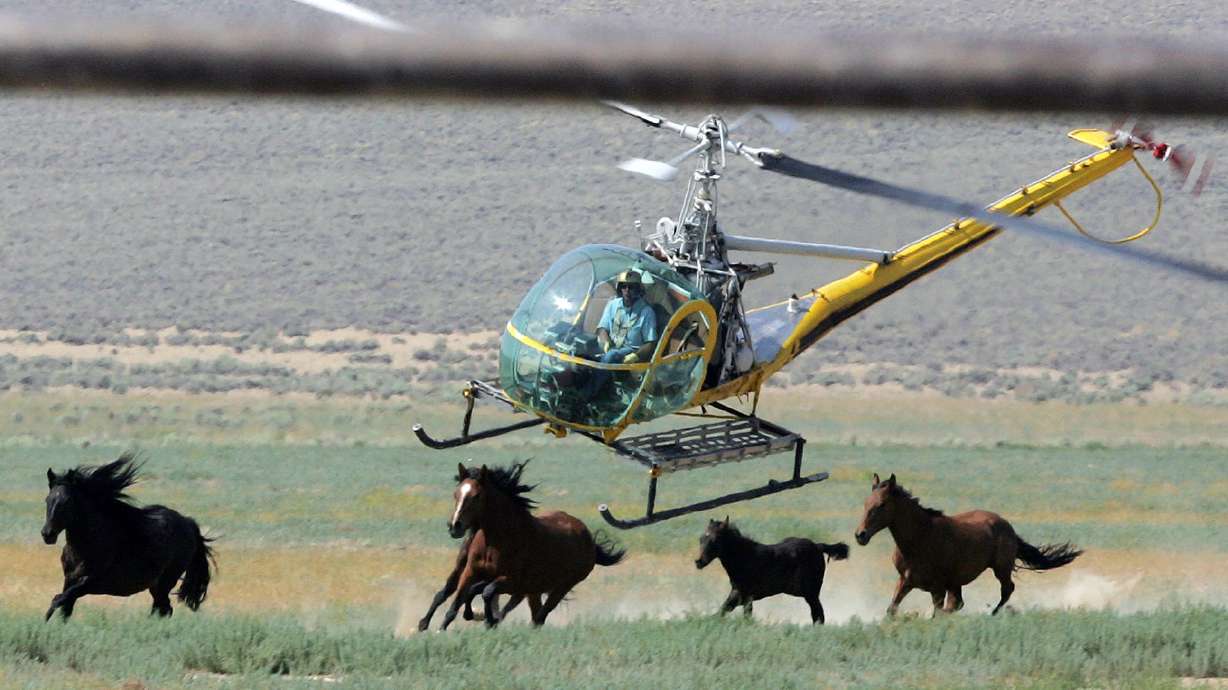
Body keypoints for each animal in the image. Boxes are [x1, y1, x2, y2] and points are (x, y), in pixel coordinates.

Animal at [41, 452, 215, 621]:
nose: (47, 534)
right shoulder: (69, 580)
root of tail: (188, 522)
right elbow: (64, 609)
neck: (88, 544)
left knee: (164, 609)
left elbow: (57, 600)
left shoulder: (90, 582)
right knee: (162, 609)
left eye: (67, 501)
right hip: (156, 586)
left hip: (165, 581)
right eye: (47, 499)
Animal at [440, 460, 625, 629]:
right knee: (535, 615)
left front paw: (487, 619)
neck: (494, 543)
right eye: (456, 493)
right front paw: (444, 627)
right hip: (534, 590)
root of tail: (589, 539)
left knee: (540, 617)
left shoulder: (512, 582)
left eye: (477, 496)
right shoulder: (471, 572)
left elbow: (486, 592)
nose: (454, 526)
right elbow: (459, 601)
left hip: (562, 587)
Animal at [695, 516, 849, 624]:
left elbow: (727, 611)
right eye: (701, 538)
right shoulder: (742, 595)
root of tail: (817, 546)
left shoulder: (743, 594)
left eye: (715, 540)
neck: (745, 557)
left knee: (818, 615)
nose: (698, 561)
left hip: (811, 593)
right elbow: (725, 612)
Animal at [854, 473, 1082, 617]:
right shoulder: (905, 581)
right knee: (960, 602)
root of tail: (1007, 526)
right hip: (957, 582)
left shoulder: (937, 587)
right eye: (865, 503)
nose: (860, 535)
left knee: (1007, 590)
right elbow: (891, 610)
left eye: (882, 505)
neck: (920, 539)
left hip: (1000, 568)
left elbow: (938, 612)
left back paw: (992, 613)